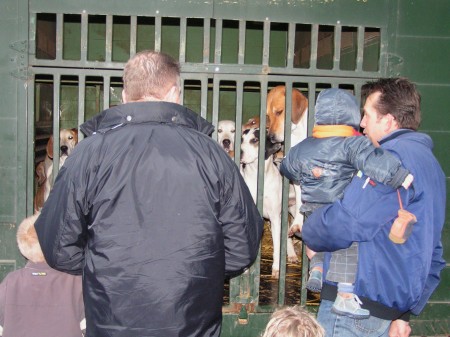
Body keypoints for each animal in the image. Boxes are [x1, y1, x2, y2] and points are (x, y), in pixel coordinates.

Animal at [239, 126, 298, 278]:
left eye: (255, 140)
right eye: (241, 140)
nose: (240, 152)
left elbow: (277, 246)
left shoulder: (275, 217)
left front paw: (276, 268)